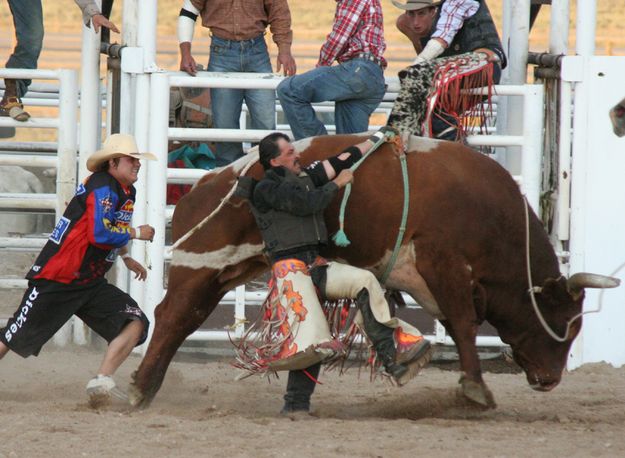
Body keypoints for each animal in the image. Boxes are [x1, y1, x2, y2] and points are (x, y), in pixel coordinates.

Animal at [129, 134, 616, 410]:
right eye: (563, 323)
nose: (550, 379)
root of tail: (204, 186)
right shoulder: (445, 266)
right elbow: (463, 326)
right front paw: (475, 390)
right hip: (202, 263)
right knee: (172, 317)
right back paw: (138, 388)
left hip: (224, 271)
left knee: (185, 320)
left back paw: (145, 387)